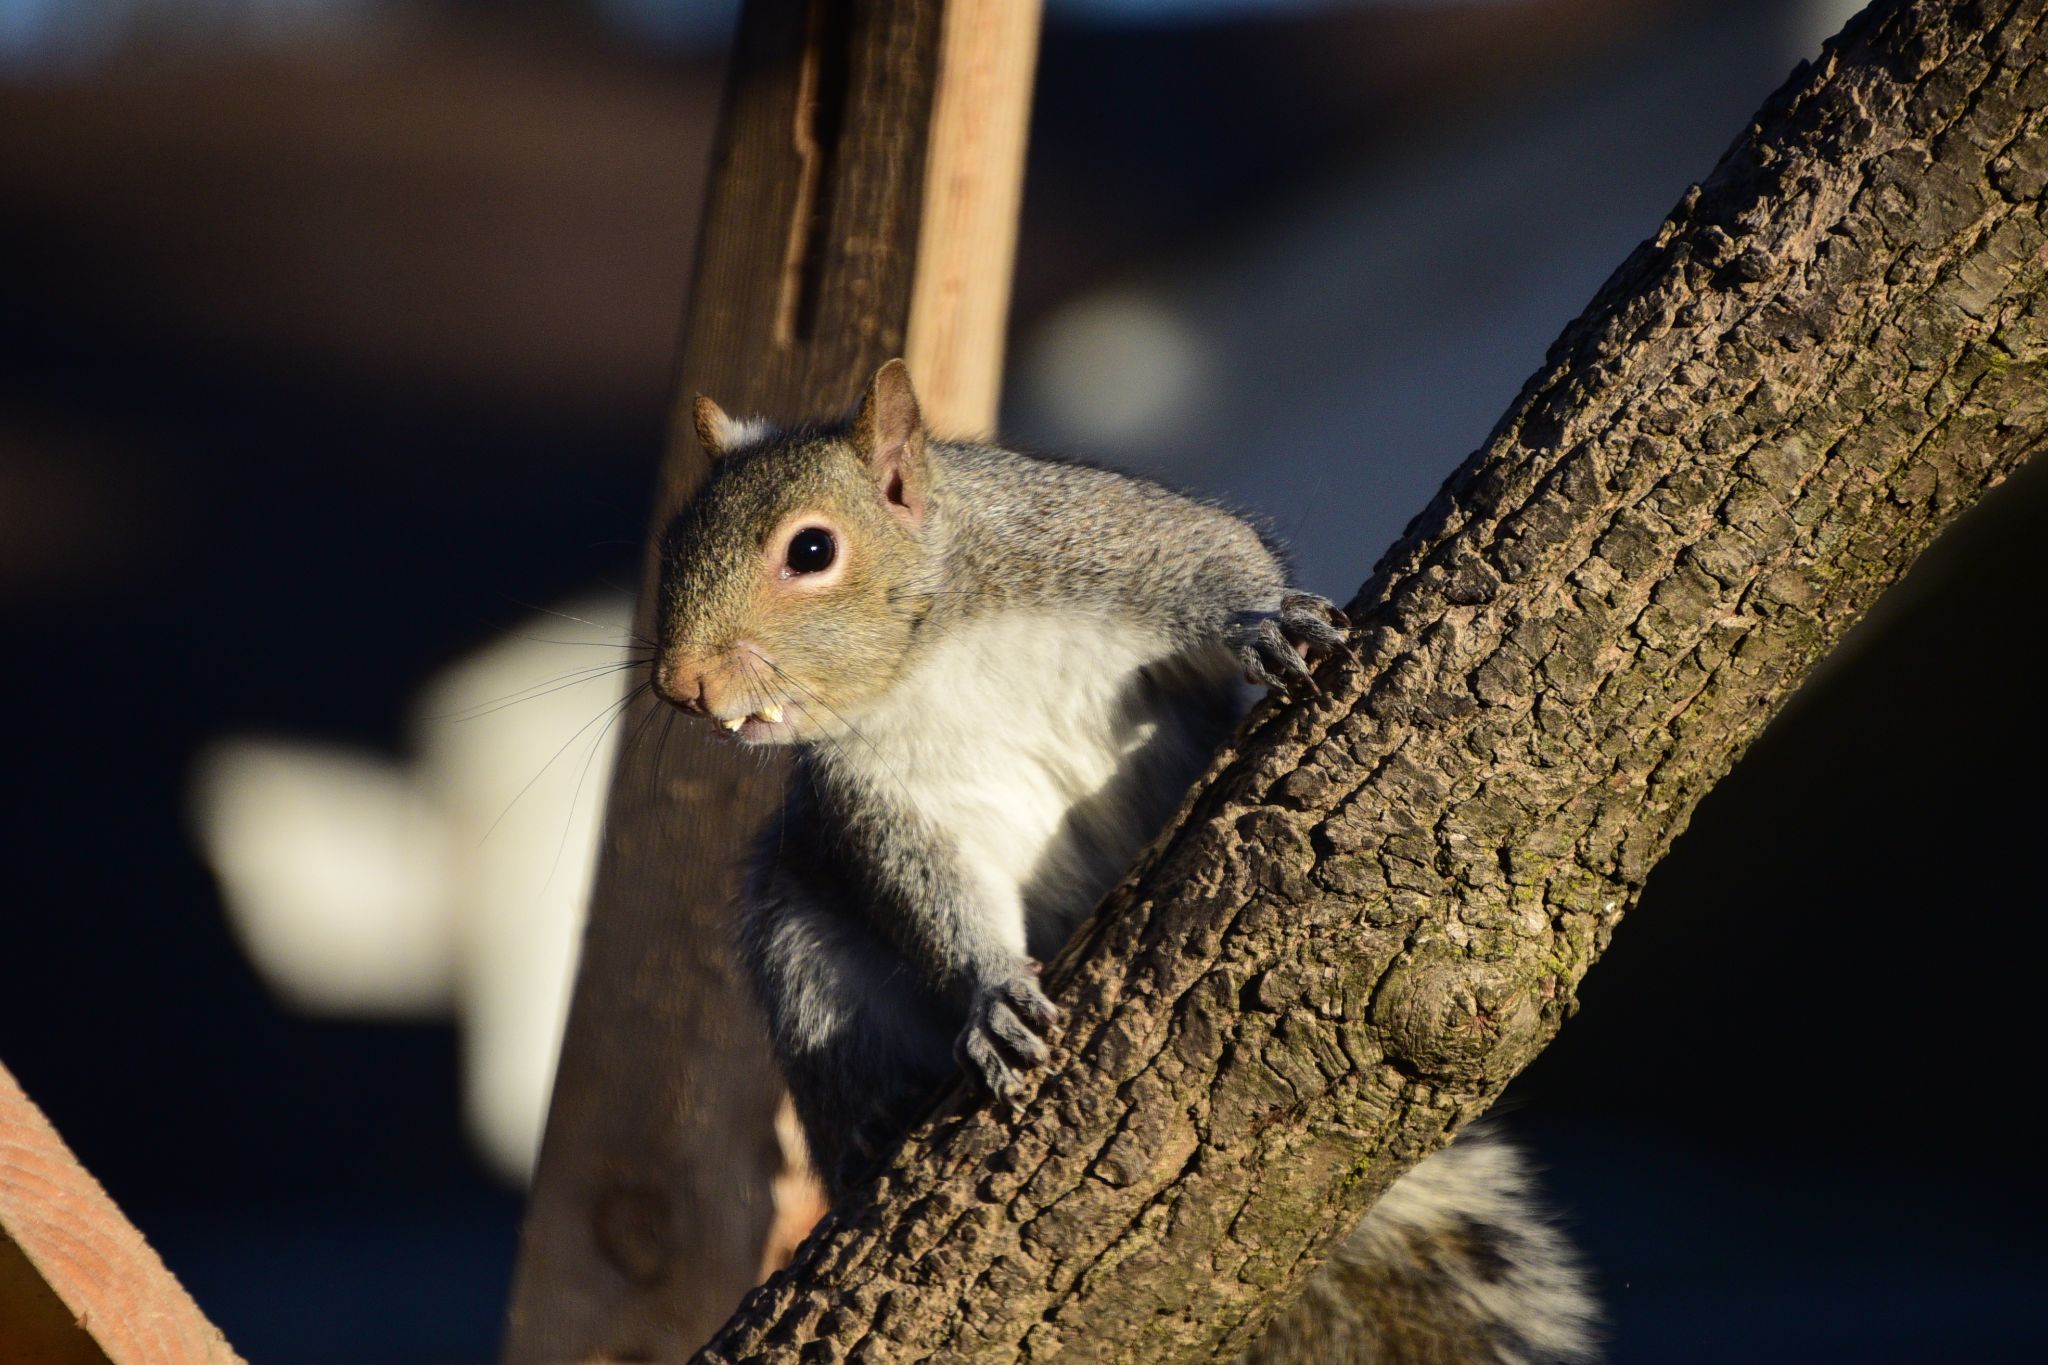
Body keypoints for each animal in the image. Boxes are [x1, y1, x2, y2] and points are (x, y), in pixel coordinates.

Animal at [653, 359, 1599, 1363]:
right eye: (672, 540)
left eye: (811, 551)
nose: (679, 685)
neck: (934, 651)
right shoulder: (878, 802)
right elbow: (931, 895)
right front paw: (992, 993)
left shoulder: (1097, 538)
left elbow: (1214, 550)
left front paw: (1262, 622)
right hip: (796, 946)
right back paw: (879, 1120)